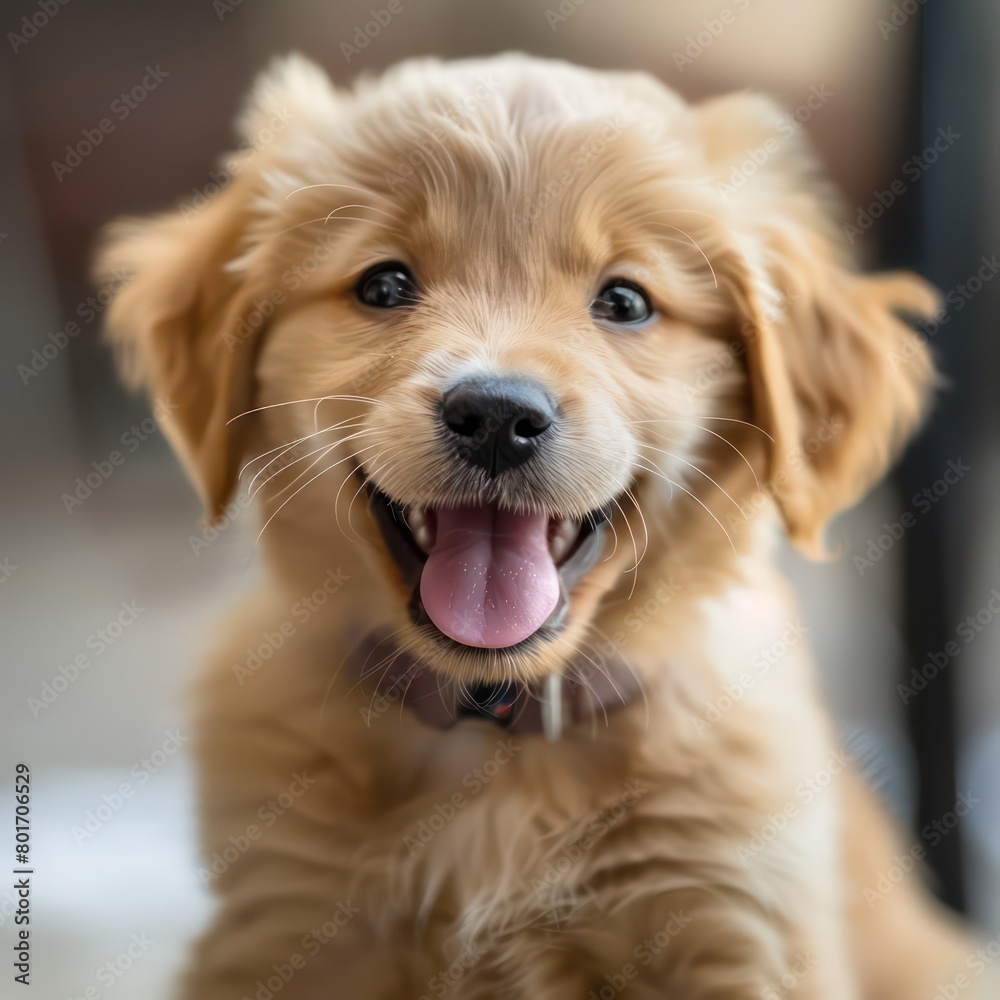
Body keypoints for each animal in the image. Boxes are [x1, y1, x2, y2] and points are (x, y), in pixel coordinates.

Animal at [97, 52, 988, 1000]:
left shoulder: (741, 932)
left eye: (625, 302)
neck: (496, 740)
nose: (495, 415)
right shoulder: (288, 922)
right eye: (384, 285)